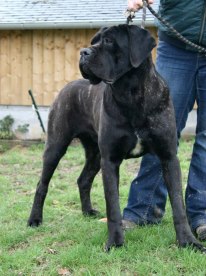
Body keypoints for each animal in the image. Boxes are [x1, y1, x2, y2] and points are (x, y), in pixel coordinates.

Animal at [28, 24, 205, 251]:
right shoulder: (110, 160)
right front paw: (115, 242)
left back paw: (88, 212)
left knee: (83, 179)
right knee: (42, 184)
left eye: (109, 41)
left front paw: (188, 241)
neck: (131, 92)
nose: (83, 52)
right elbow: (113, 205)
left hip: (95, 155)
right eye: (94, 41)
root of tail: (67, 86)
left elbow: (178, 204)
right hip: (56, 146)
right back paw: (34, 219)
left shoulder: (168, 157)